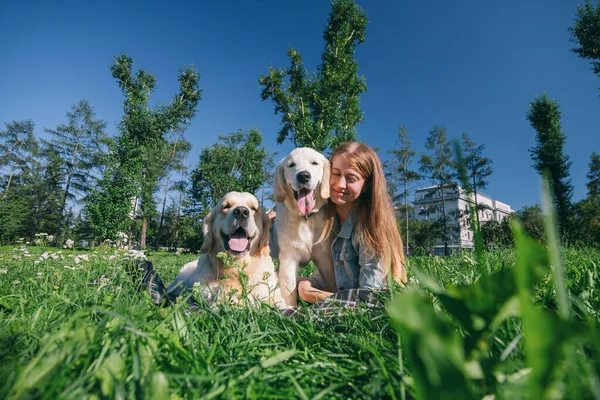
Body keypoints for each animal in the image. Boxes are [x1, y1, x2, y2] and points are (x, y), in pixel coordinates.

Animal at [272, 148, 338, 308]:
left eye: (314, 163)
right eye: (291, 165)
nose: (303, 176)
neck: (306, 218)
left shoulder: (324, 256)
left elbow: (332, 281)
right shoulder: (288, 257)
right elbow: (288, 289)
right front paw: (290, 308)